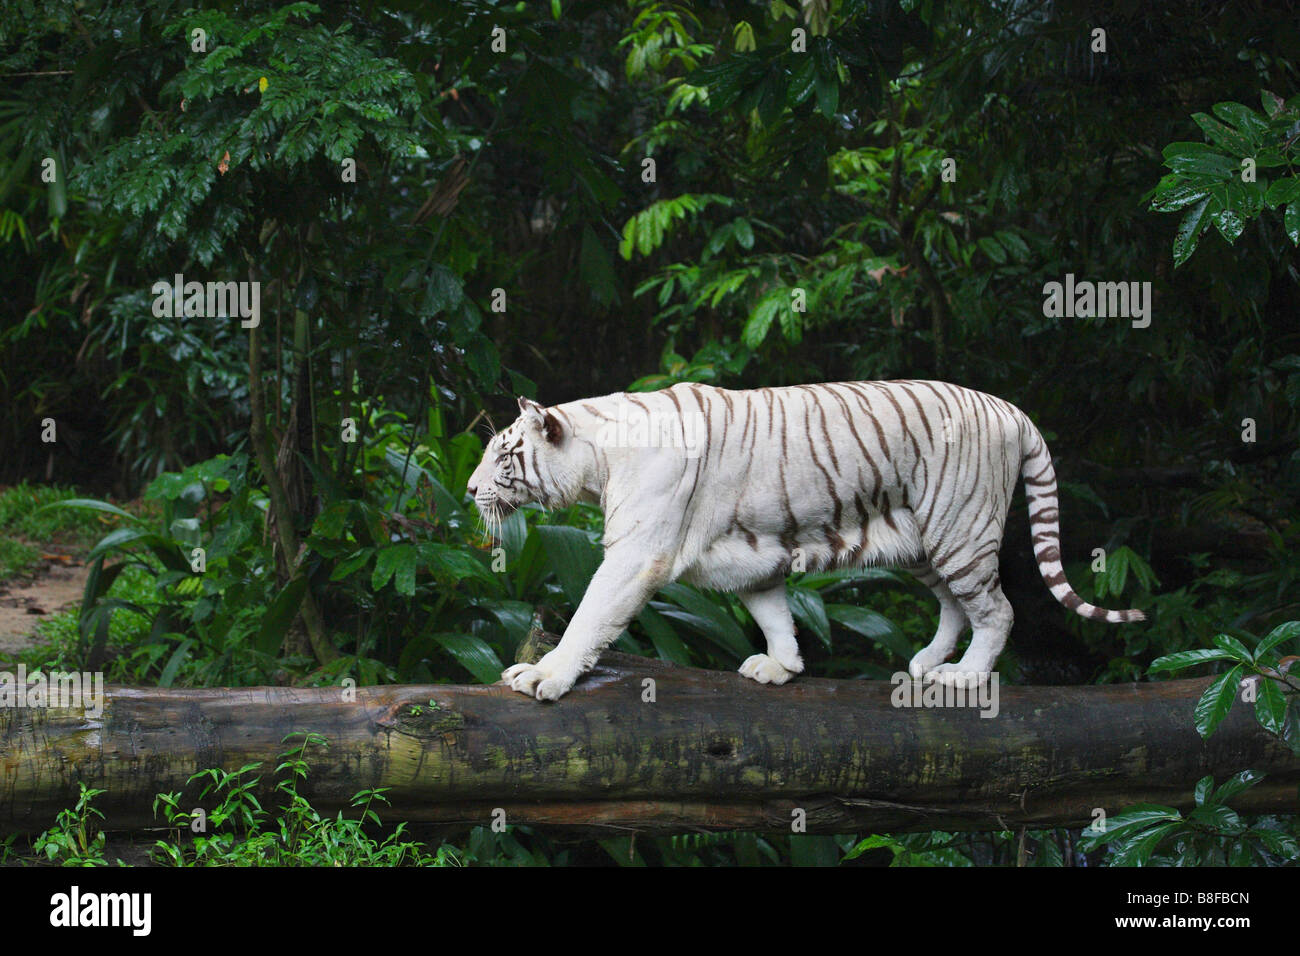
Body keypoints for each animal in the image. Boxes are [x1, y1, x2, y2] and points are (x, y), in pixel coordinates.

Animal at [467, 381, 1144, 701]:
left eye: (504, 454)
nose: (471, 490)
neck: (599, 458)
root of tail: (1013, 410)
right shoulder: (749, 551)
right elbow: (773, 611)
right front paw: (783, 666)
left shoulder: (636, 555)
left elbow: (588, 619)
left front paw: (544, 676)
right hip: (925, 541)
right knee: (957, 604)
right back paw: (929, 662)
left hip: (960, 528)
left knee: (997, 610)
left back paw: (966, 677)